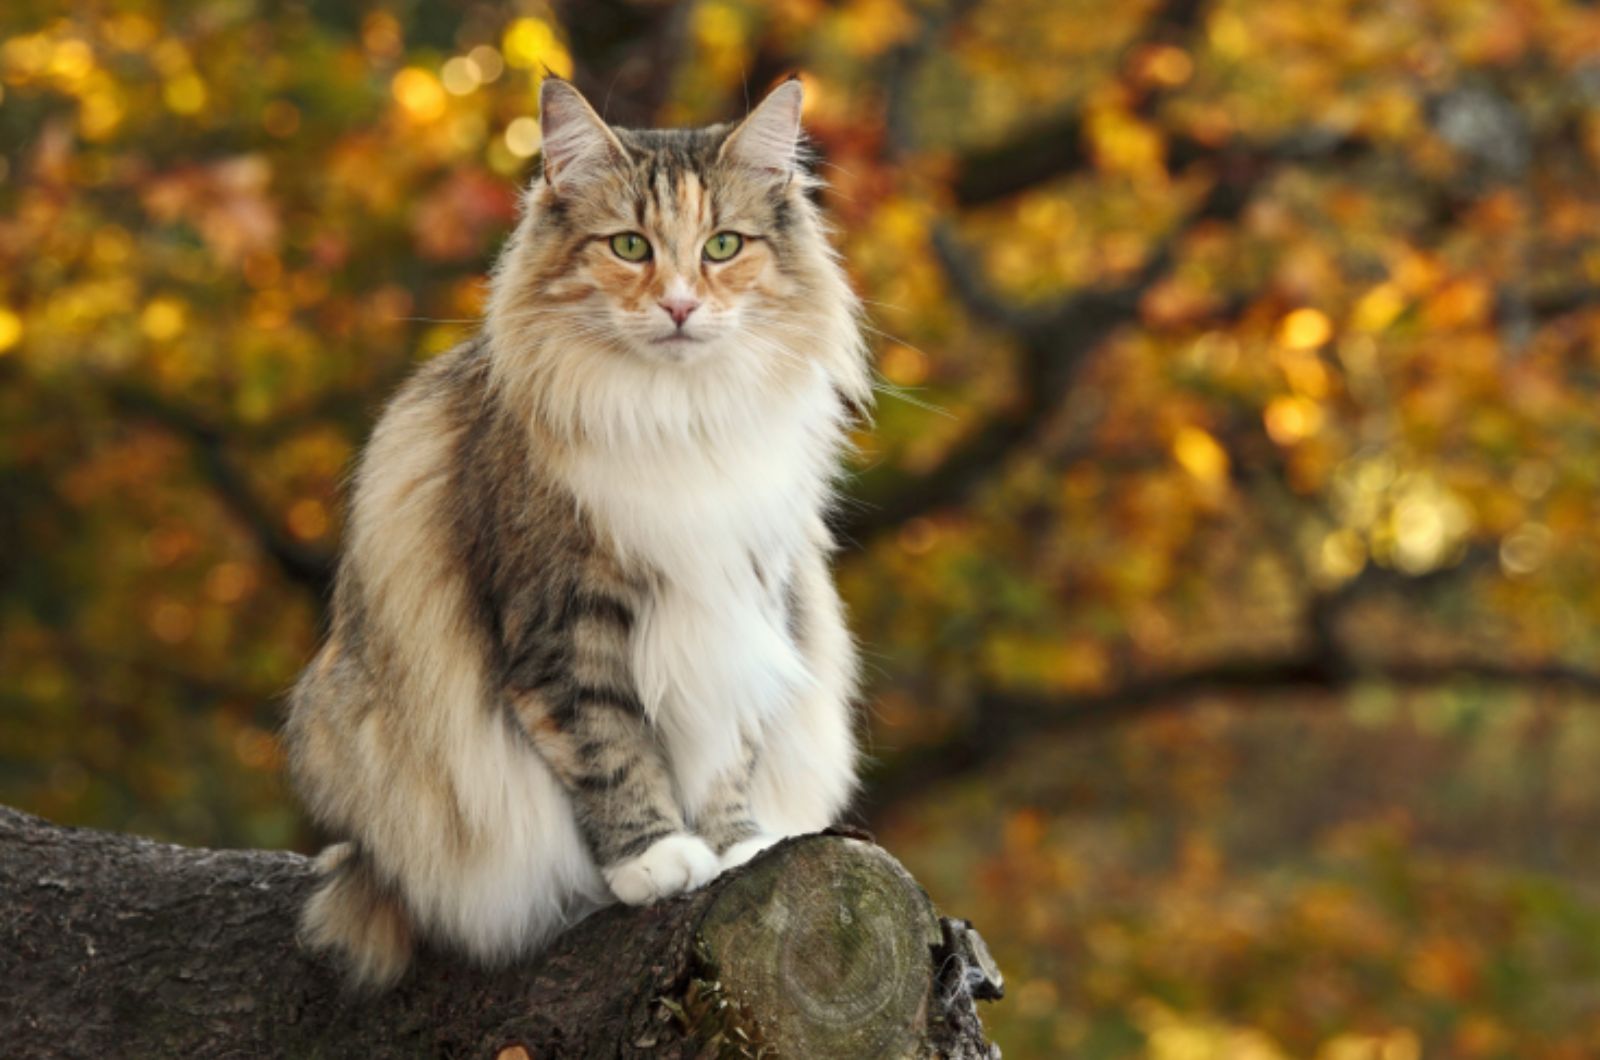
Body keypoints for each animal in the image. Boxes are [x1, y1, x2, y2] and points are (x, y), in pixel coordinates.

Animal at [281, 78, 870, 992]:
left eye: (723, 246)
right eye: (630, 246)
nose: (679, 304)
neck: (679, 415)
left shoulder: (745, 600)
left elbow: (728, 750)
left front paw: (737, 846)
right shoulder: (563, 617)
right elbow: (609, 746)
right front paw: (657, 859)